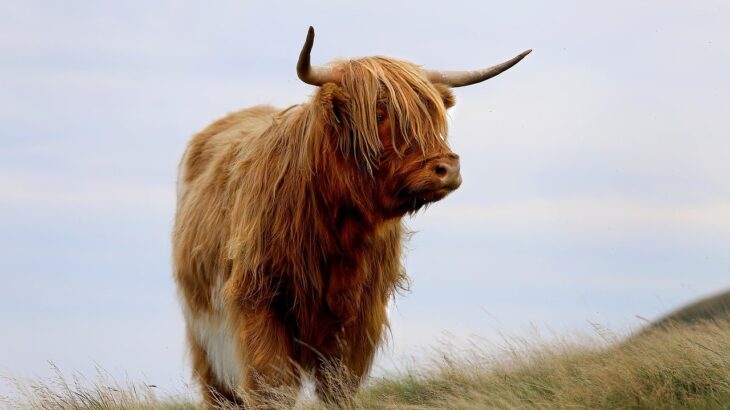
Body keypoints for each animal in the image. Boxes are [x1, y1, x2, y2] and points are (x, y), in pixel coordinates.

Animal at [175, 28, 528, 406]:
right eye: (379, 112)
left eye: (431, 114)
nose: (447, 168)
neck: (338, 227)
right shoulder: (258, 299)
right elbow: (272, 384)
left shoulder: (360, 315)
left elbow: (339, 384)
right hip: (205, 334)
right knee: (220, 391)